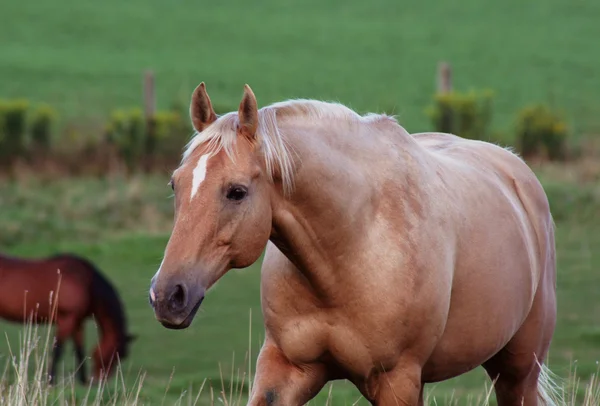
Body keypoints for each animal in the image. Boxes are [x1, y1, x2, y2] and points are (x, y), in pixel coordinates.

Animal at [0, 252, 136, 386]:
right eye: (117, 353)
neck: (85, 281)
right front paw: (51, 381)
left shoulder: (78, 322)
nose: (100, 381)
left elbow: (79, 349)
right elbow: (58, 350)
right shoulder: (66, 320)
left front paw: (82, 380)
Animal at [149, 83, 556, 406]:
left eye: (237, 192)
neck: (348, 249)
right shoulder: (284, 368)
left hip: (518, 373)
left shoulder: (396, 381)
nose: (167, 295)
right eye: (175, 184)